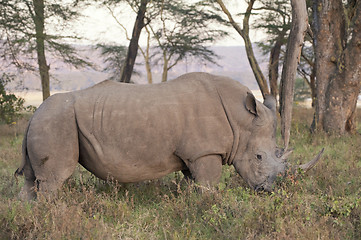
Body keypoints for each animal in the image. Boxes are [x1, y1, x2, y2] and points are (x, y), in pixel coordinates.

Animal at [15, 72, 322, 200]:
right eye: (258, 157)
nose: (269, 191)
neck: (241, 120)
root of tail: (33, 113)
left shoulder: (193, 155)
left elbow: (194, 185)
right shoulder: (205, 151)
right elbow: (209, 187)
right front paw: (210, 206)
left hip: (47, 121)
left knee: (31, 181)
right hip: (57, 121)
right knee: (54, 180)